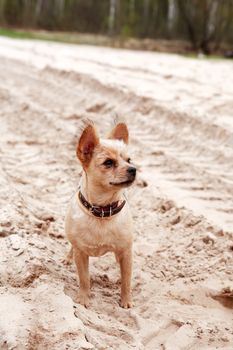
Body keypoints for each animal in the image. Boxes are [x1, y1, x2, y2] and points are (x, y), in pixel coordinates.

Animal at [64, 121, 136, 308]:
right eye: (108, 162)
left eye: (129, 160)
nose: (133, 169)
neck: (103, 211)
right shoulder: (81, 253)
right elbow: (84, 278)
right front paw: (83, 298)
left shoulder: (126, 253)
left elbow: (126, 280)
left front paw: (126, 301)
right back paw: (67, 258)